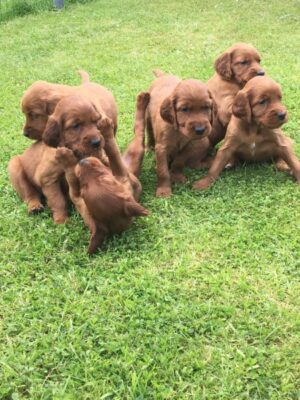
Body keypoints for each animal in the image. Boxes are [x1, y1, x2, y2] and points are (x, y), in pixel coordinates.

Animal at [54, 92, 150, 253]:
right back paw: (142, 99)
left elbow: (111, 151)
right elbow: (112, 151)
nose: (82, 162)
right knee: (138, 133)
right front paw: (65, 157)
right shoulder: (77, 196)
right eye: (84, 187)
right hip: (134, 153)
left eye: (105, 178)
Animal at [145, 70, 216, 198]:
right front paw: (163, 190)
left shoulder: (190, 145)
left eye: (206, 107)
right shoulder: (161, 148)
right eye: (184, 109)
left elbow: (179, 161)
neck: (179, 132)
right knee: (149, 134)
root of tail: (163, 75)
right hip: (147, 118)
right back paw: (149, 149)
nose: (200, 130)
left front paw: (176, 176)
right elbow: (162, 171)